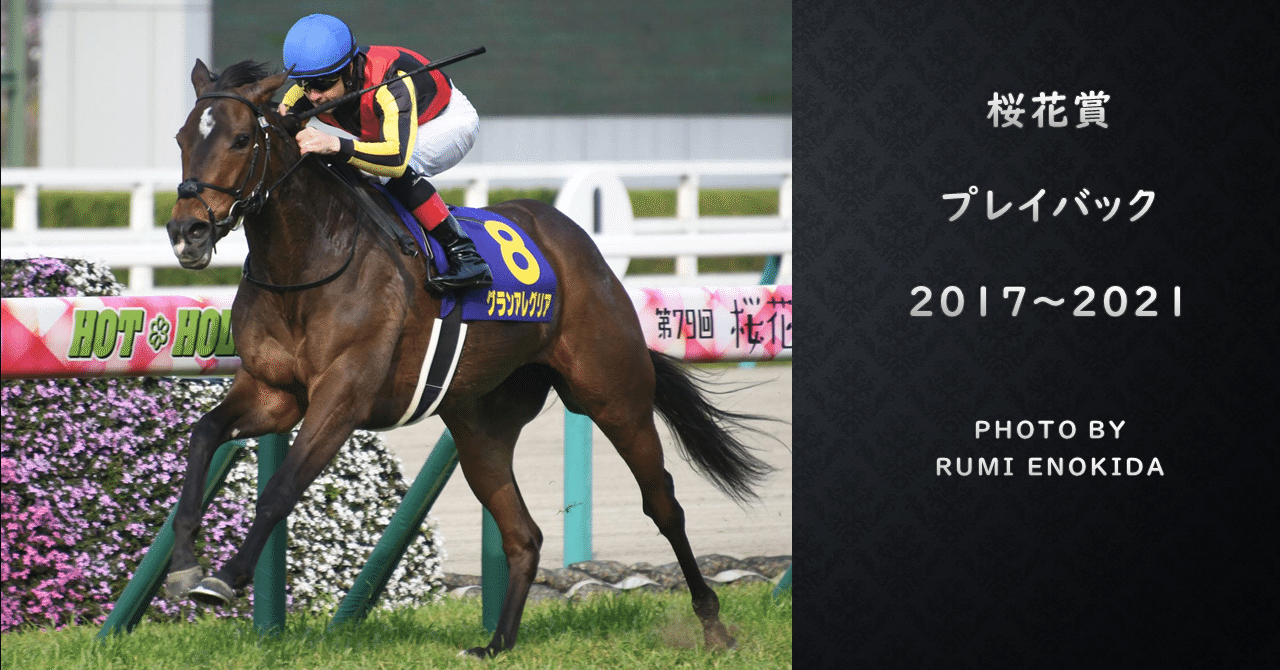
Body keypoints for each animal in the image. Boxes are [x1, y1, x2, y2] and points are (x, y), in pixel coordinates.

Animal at [162, 59, 774, 658]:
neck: (310, 260)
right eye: (182, 138)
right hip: (481, 425)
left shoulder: (342, 396)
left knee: (663, 505)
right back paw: (496, 644)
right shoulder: (273, 392)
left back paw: (714, 627)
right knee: (524, 535)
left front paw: (226, 577)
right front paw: (184, 564)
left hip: (614, 394)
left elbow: (280, 488)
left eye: (241, 138)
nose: (186, 231)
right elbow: (204, 434)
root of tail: (577, 244)